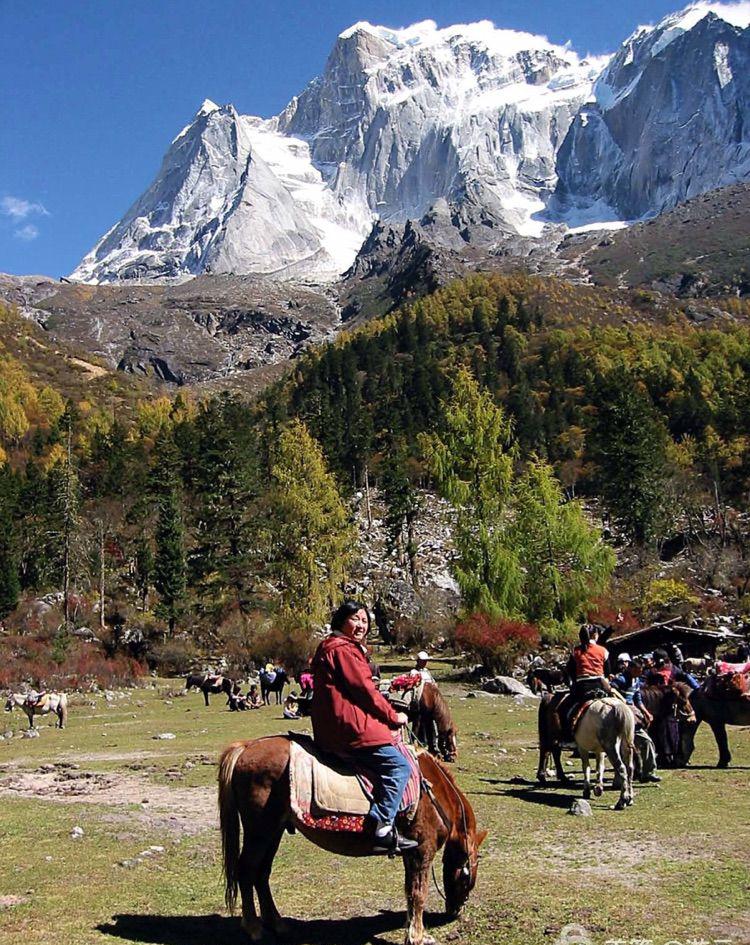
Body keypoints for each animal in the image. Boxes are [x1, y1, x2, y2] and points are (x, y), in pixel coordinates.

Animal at [217, 736, 488, 944]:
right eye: (469, 875)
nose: (455, 911)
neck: (435, 793)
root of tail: (246, 747)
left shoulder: (410, 853)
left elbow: (409, 891)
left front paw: (412, 928)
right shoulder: (423, 850)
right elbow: (418, 892)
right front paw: (417, 936)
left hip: (274, 831)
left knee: (262, 873)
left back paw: (277, 924)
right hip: (260, 831)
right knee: (247, 871)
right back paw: (254, 928)